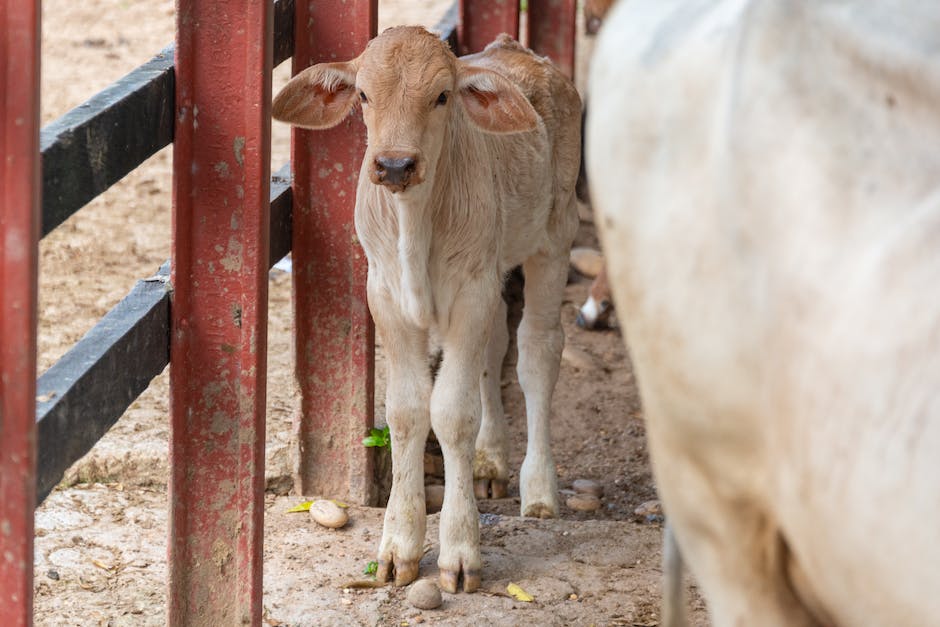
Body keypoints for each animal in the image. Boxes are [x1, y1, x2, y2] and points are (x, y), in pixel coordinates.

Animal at [272, 25, 580, 592]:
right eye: (364, 95)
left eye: (441, 96)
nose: (395, 164)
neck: (415, 227)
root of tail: (518, 50)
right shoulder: (387, 298)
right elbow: (407, 410)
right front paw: (398, 548)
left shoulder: (471, 291)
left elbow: (453, 412)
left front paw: (459, 552)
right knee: (495, 349)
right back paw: (489, 462)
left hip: (555, 234)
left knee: (537, 352)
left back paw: (540, 490)